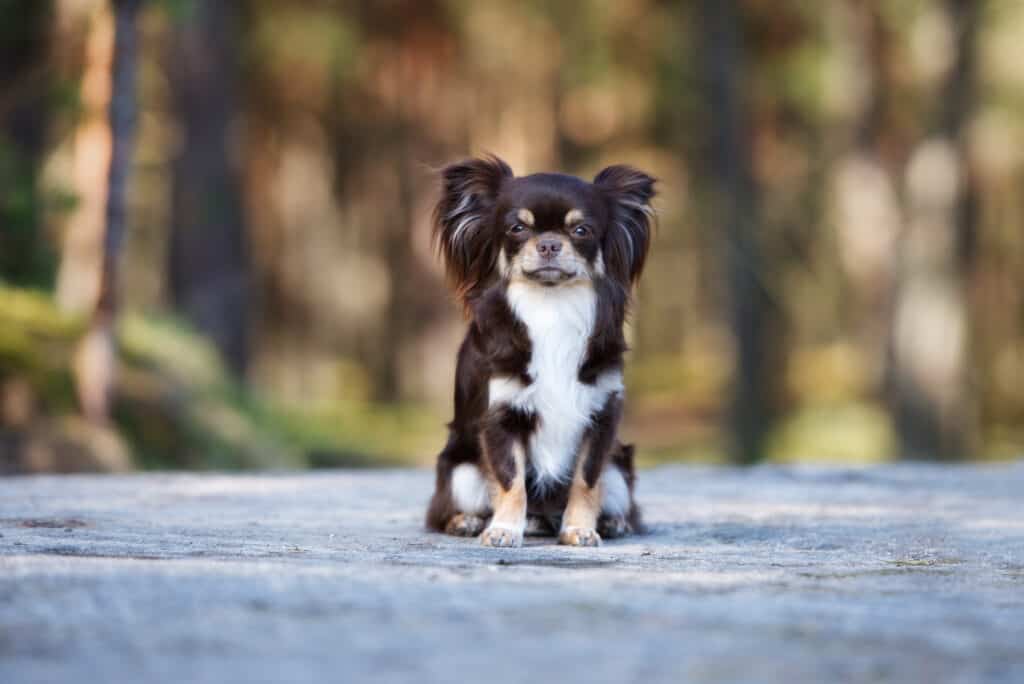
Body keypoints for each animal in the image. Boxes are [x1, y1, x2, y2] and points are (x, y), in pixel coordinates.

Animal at [425, 153, 655, 544]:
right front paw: (503, 530)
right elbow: (510, 479)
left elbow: (586, 479)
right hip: (460, 469)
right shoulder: (501, 416)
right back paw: (468, 521)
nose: (549, 244)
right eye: (518, 229)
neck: (551, 307)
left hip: (619, 470)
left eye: (581, 231)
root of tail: (543, 518)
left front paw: (579, 529)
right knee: (444, 508)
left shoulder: (600, 418)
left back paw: (611, 523)